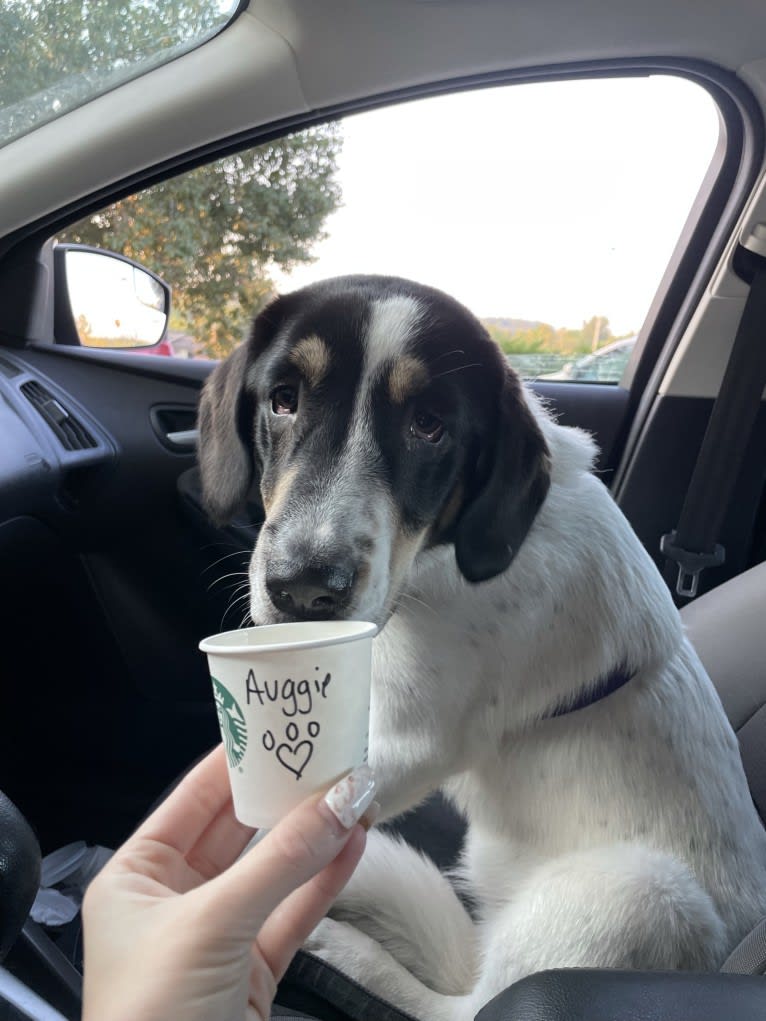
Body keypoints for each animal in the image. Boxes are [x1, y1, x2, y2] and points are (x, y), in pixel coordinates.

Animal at [199, 275, 766, 1021]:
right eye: (283, 399)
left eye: (429, 425)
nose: (302, 588)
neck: (447, 556)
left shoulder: (411, 746)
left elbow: (277, 835)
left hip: (636, 891)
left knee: (458, 1007)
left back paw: (339, 945)